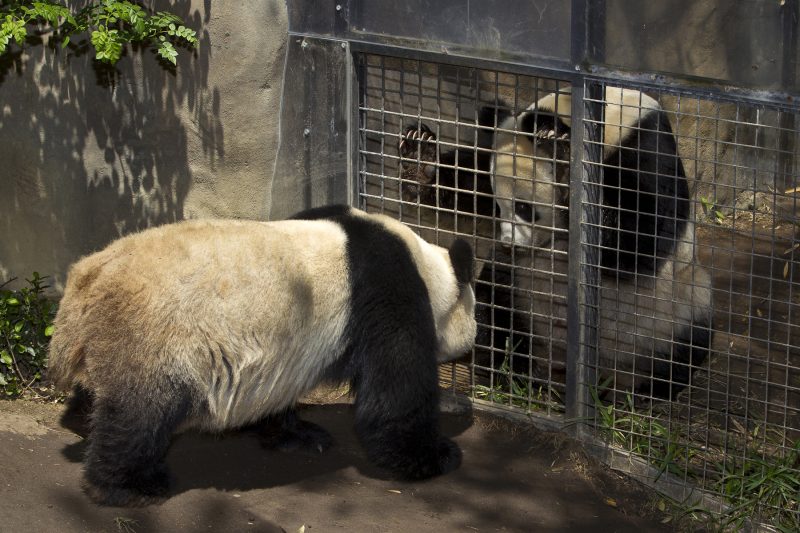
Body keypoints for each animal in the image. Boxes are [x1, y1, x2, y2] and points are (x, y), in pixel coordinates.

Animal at [47, 205, 478, 508]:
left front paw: (297, 435)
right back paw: (129, 486)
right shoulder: (384, 290)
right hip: (154, 335)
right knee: (139, 414)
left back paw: (80, 418)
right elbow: (395, 390)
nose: (473, 345)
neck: (424, 264)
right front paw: (435, 455)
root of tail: (87, 281)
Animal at [400, 87, 712, 396]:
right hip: (522, 292)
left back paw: (645, 391)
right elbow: (467, 182)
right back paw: (509, 370)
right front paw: (420, 158)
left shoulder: (646, 149)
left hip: (674, 310)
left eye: (524, 208)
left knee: (689, 340)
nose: (509, 243)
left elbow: (643, 237)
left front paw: (561, 161)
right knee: (493, 299)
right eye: (498, 206)